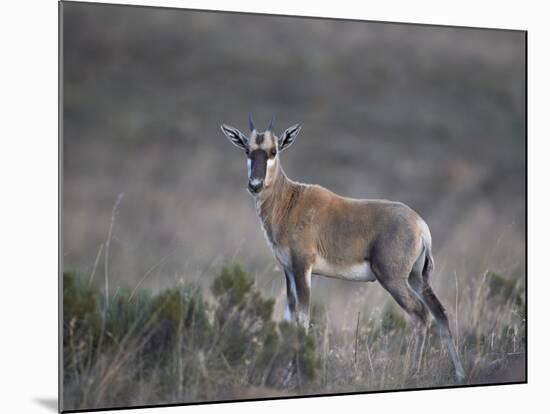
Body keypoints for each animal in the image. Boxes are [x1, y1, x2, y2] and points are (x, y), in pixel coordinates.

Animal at [222, 115, 468, 380]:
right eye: (248, 150)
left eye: (273, 151)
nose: (255, 185)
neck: (292, 199)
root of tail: (421, 226)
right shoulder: (288, 271)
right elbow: (289, 317)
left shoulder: (302, 268)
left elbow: (303, 318)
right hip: (417, 278)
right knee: (439, 313)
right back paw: (459, 373)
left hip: (393, 279)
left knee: (420, 314)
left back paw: (414, 372)